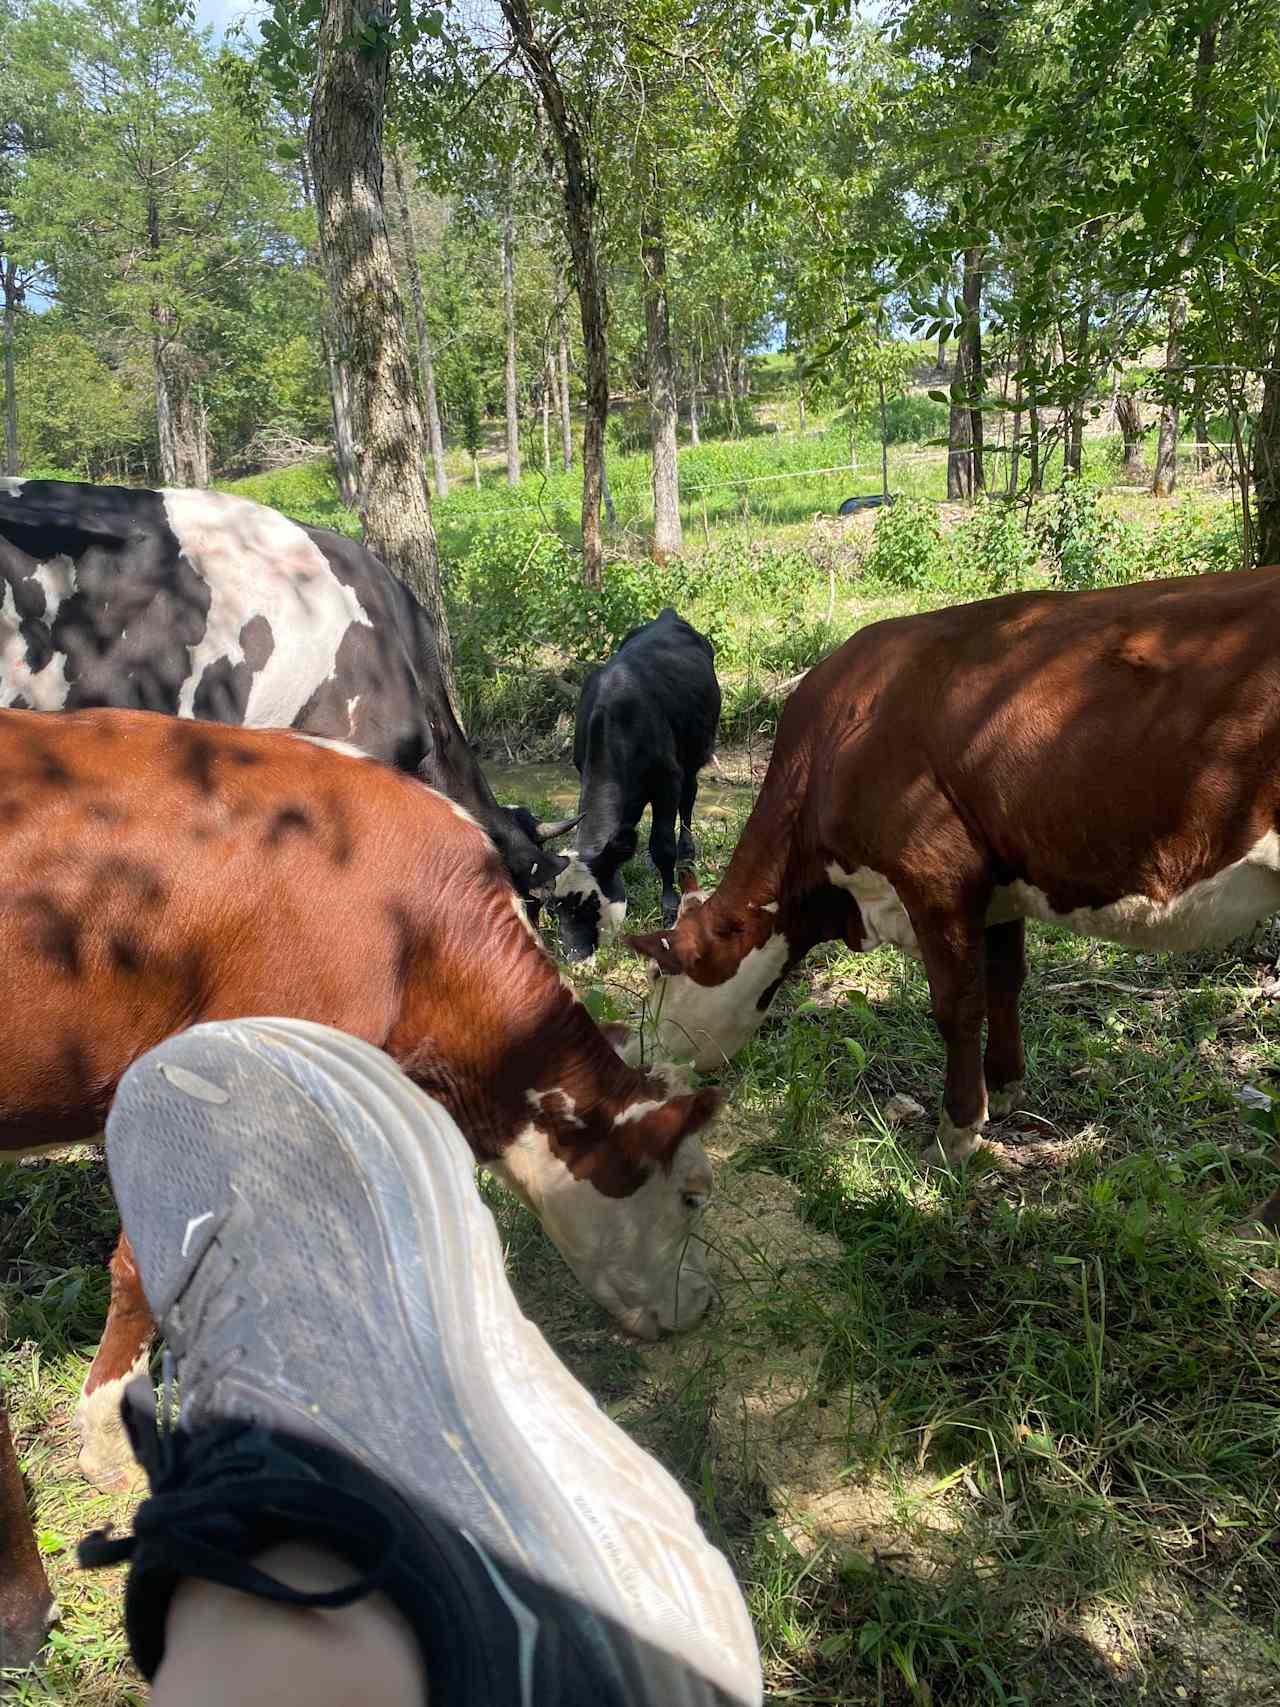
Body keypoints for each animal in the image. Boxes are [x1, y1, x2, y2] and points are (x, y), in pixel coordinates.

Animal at [552, 607, 723, 962]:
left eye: (590, 904)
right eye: (553, 908)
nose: (574, 956)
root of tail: (668, 615)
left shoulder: (667, 779)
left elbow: (662, 845)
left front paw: (669, 904)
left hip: (695, 753)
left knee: (689, 800)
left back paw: (688, 849)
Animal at [634, 566, 1280, 1181]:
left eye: (660, 979)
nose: (642, 1067)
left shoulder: (936, 877)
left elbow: (958, 1004)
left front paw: (958, 1130)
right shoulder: (1000, 884)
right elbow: (1006, 980)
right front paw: (1008, 1085)